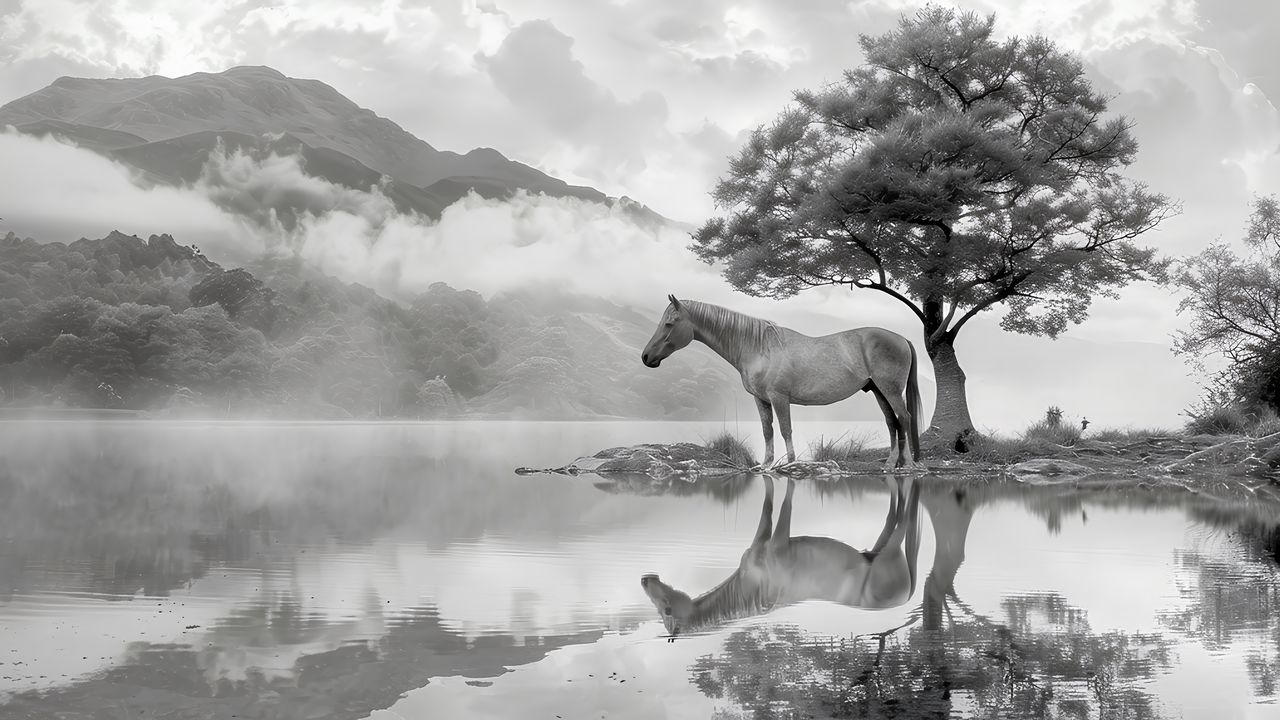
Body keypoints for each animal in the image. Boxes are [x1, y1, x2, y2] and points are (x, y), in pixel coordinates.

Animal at [640, 295, 923, 470]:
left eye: (669, 323)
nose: (646, 357)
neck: (758, 348)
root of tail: (902, 338)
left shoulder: (779, 397)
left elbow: (786, 429)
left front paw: (790, 464)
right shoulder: (761, 399)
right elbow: (768, 430)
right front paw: (765, 465)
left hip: (889, 390)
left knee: (904, 418)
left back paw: (907, 465)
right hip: (878, 390)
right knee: (892, 422)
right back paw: (891, 464)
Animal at [640, 475, 921, 640]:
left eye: (667, 609)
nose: (644, 579)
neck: (748, 592)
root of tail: (905, 597)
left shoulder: (778, 542)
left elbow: (784, 507)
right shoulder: (763, 537)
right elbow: (768, 509)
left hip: (891, 551)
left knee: (905, 519)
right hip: (878, 548)